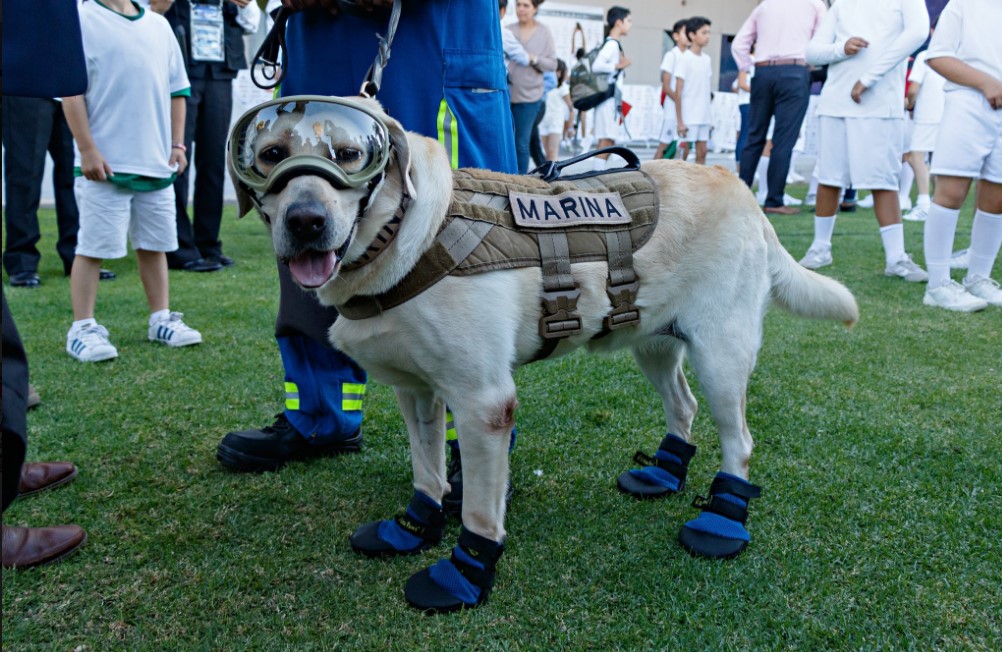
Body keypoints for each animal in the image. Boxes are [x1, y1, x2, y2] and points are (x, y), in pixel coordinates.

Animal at [229, 95, 861, 612]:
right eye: (271, 156)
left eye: (350, 154)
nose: (305, 222)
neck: (405, 236)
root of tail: (740, 188)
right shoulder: (418, 392)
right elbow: (427, 472)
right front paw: (411, 527)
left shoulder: (484, 403)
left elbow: (480, 511)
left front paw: (464, 575)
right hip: (656, 342)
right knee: (683, 406)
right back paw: (664, 473)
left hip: (721, 353)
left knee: (740, 441)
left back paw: (723, 521)